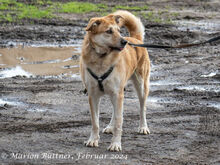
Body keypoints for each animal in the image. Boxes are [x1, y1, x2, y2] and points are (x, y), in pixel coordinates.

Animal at [80, 10, 150, 151]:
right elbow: (95, 121)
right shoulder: (93, 95)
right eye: (109, 31)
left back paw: (143, 127)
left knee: (142, 108)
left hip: (141, 86)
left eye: (118, 30)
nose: (124, 42)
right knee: (114, 109)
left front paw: (116, 144)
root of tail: (135, 38)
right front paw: (93, 140)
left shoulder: (118, 94)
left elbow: (119, 120)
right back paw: (110, 126)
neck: (101, 58)